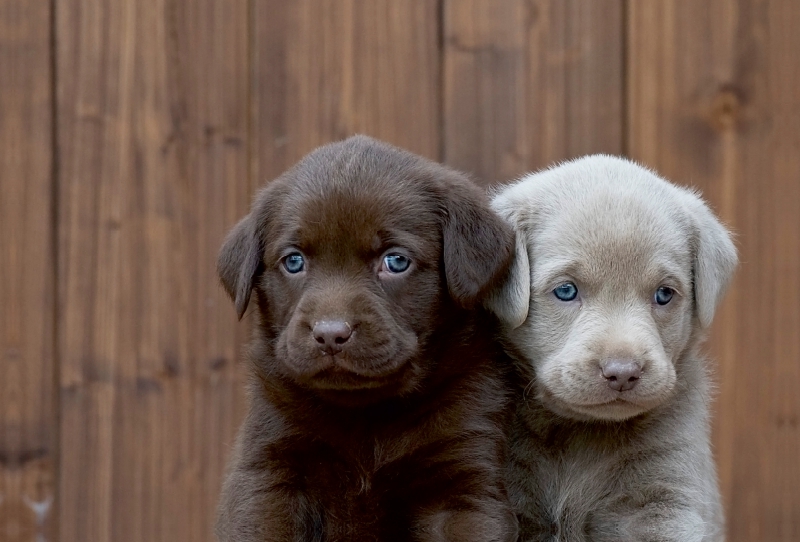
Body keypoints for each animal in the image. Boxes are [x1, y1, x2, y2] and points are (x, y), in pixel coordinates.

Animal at [216, 137, 516, 542]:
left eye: (395, 261)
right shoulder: (270, 472)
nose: (330, 333)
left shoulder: (462, 483)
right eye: (293, 262)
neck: (365, 417)